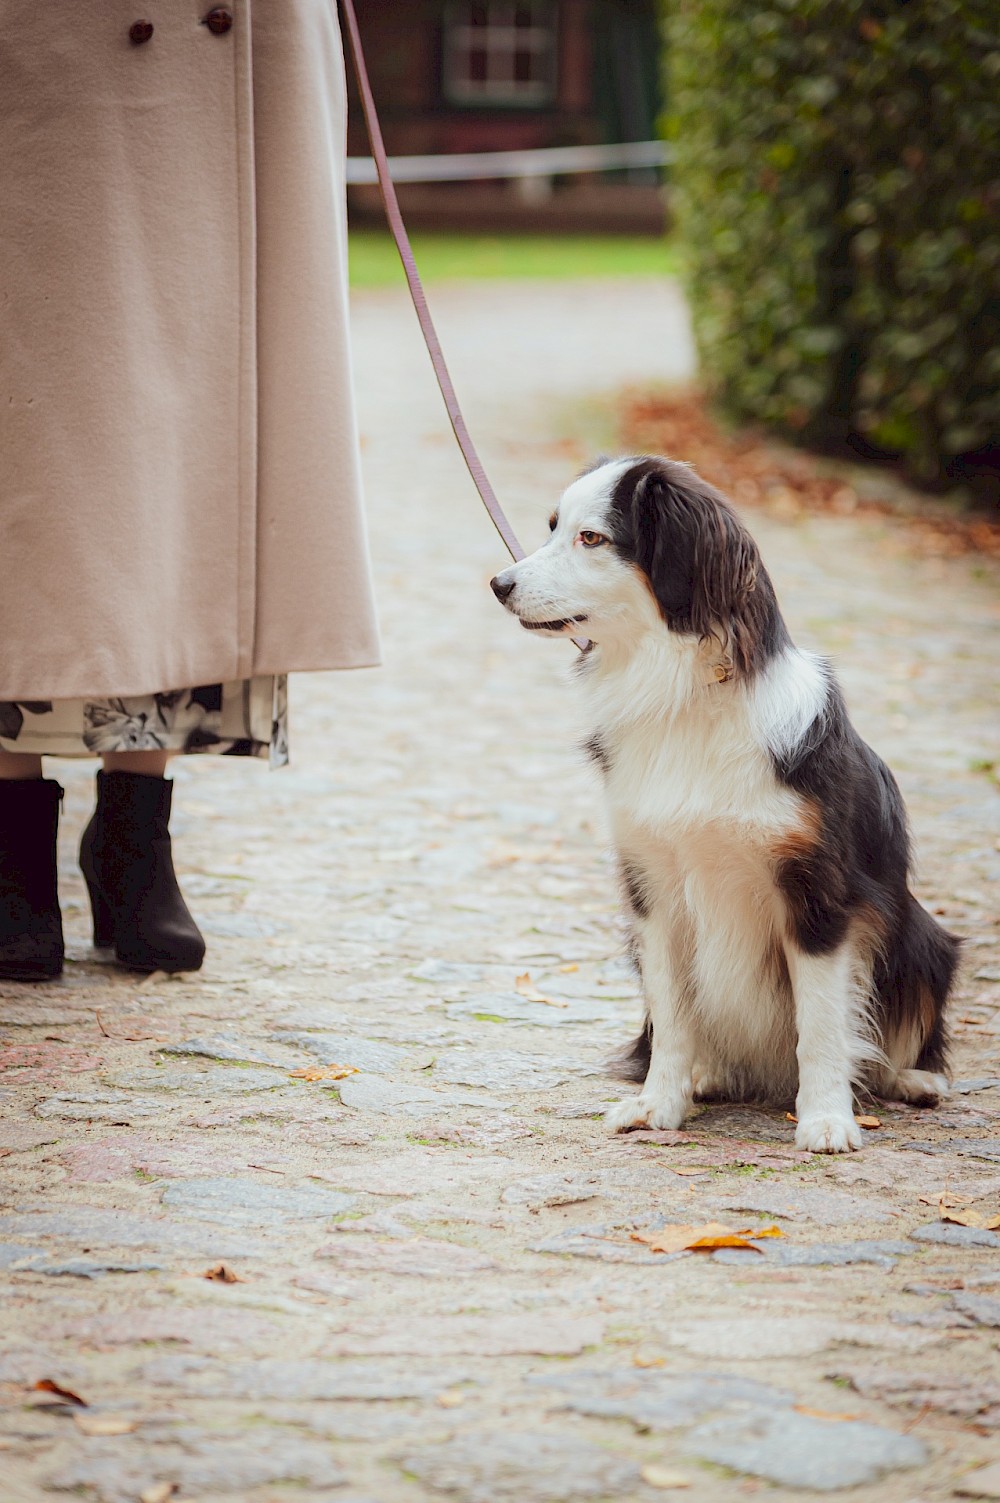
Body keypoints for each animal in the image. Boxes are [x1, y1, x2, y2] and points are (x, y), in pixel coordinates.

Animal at [490, 453, 962, 1148]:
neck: (683, 692)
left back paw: (911, 1079)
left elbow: (822, 1026)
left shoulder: (818, 893)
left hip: (923, 939)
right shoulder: (654, 887)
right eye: (553, 527)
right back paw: (709, 1076)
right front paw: (659, 1104)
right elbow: (672, 1017)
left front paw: (826, 1119)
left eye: (591, 538)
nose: (498, 583)